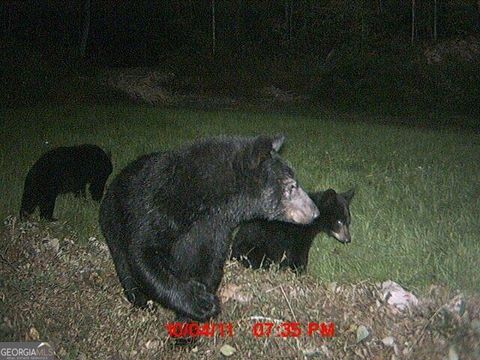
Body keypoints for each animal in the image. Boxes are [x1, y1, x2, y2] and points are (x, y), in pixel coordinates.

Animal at [100, 136, 318, 324]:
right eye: (292, 186)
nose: (315, 212)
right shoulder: (157, 207)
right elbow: (143, 252)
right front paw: (200, 303)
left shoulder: (214, 226)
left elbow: (210, 261)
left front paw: (188, 322)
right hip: (112, 219)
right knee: (122, 261)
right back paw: (139, 299)